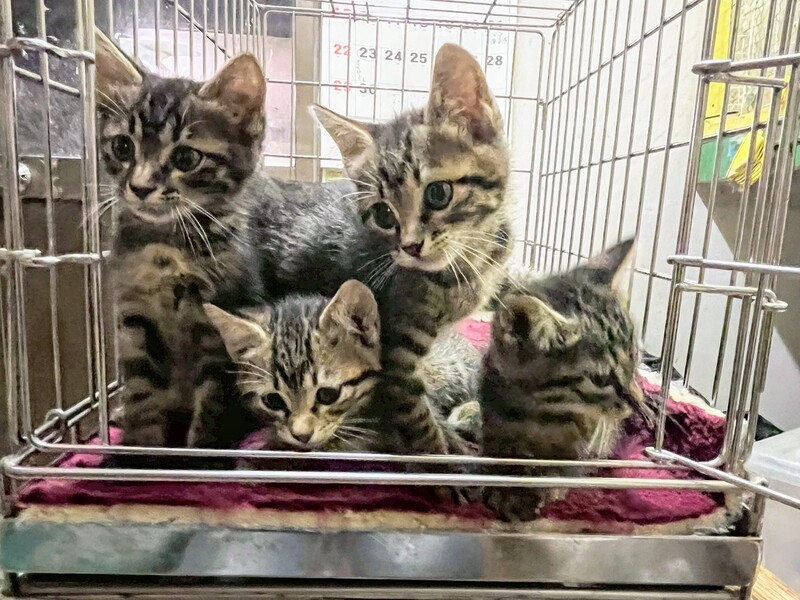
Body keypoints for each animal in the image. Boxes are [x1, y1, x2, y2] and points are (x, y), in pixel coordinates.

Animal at [480, 239, 649, 521]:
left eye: (634, 356)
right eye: (600, 379)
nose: (635, 402)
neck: (544, 413)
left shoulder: (590, 442)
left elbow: (564, 467)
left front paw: (541, 488)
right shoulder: (493, 418)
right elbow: (499, 452)